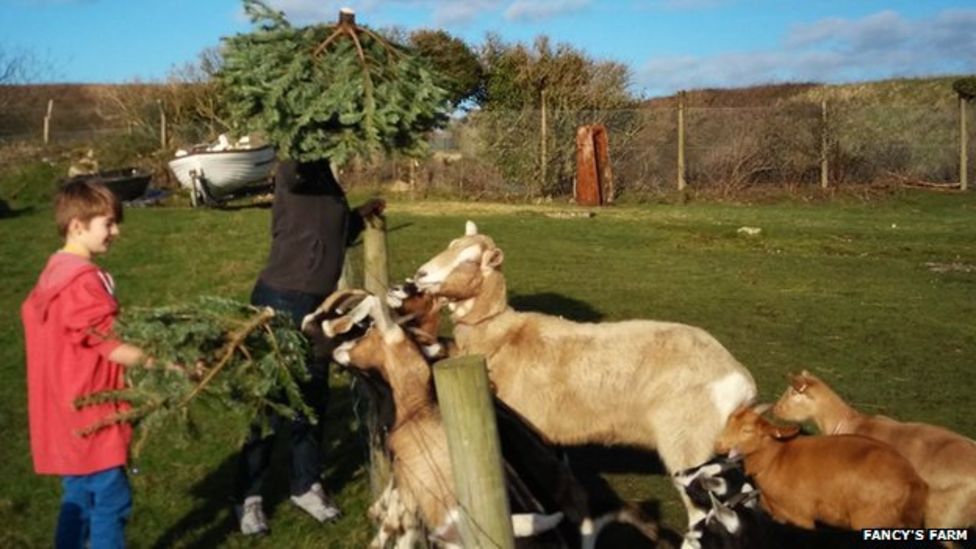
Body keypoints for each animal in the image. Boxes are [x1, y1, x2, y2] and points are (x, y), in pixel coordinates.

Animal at [411, 220, 758, 528]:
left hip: (689, 446)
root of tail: (741, 379)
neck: (503, 335)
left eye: (469, 260)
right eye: (451, 244)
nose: (420, 275)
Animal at [715, 405, 928, 530]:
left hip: (871, 520)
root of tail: (914, 481)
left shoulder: (799, 516)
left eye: (747, 430)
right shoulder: (778, 512)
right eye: (729, 420)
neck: (777, 457)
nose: (718, 445)